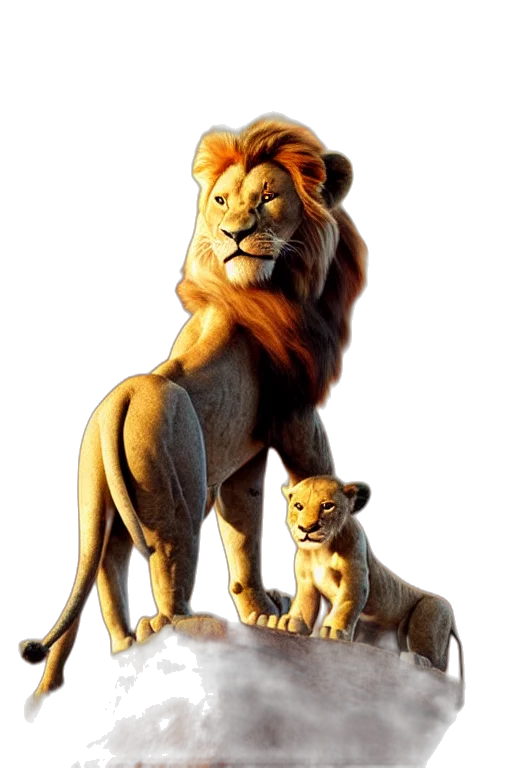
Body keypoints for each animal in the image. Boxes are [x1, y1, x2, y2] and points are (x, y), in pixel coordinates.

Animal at [19, 114, 368, 713]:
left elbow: (243, 536)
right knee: (166, 556)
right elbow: (317, 477)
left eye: (268, 197)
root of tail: (119, 400)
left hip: (101, 501)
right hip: (172, 483)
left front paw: (259, 614)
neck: (282, 282)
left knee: (105, 568)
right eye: (221, 200)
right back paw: (171, 626)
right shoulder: (297, 416)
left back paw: (118, 646)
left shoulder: (244, 463)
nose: (231, 234)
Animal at [252, 475, 464, 684]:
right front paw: (288, 623)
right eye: (298, 506)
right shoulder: (306, 582)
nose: (307, 528)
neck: (321, 550)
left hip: (432, 612)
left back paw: (417, 659)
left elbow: (346, 604)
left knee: (438, 663)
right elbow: (304, 606)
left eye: (327, 506)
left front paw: (333, 630)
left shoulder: (355, 576)